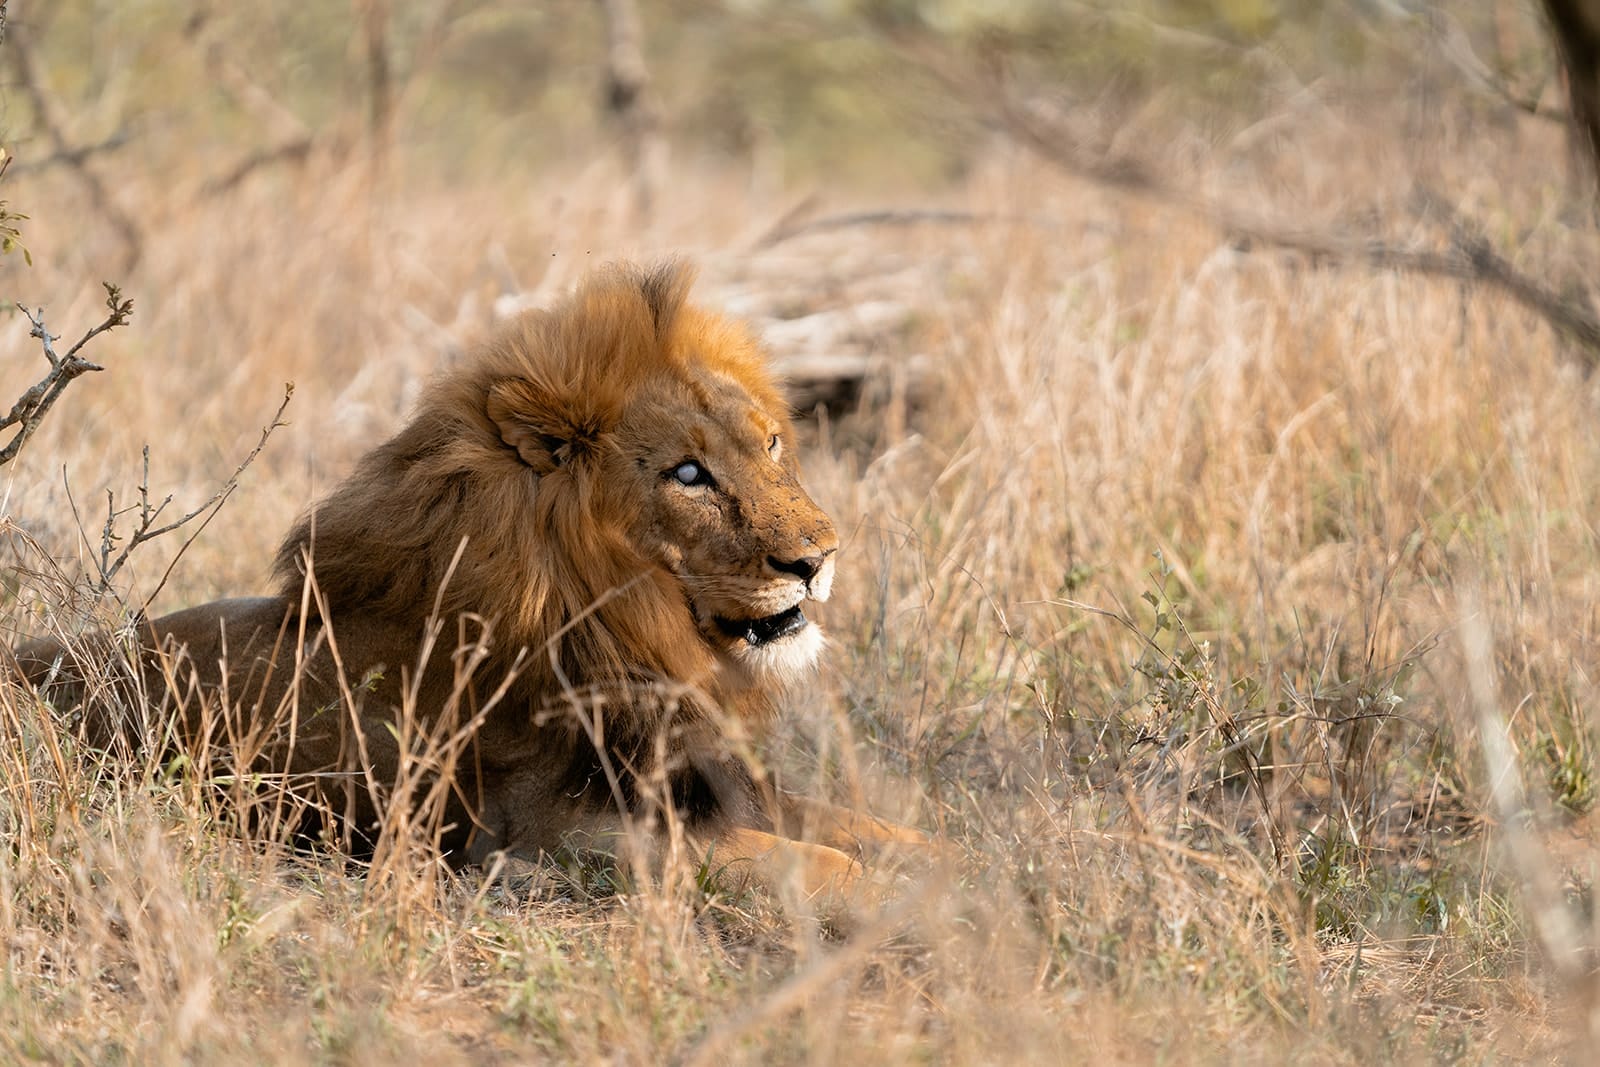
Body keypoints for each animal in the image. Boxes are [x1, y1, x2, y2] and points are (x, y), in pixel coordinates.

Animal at [12, 261, 927, 910]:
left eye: (770, 444)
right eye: (688, 474)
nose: (820, 556)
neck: (639, 628)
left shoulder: (720, 786)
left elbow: (880, 831)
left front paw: (944, 864)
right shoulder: (563, 837)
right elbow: (826, 866)